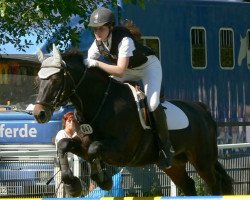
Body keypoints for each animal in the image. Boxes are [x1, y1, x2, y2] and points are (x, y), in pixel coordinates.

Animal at [32, 44, 232, 197]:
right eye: (38, 80)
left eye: (55, 79)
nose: (39, 114)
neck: (100, 102)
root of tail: (202, 109)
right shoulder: (82, 143)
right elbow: (65, 145)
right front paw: (72, 185)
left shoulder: (122, 150)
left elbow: (94, 148)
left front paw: (103, 180)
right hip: (174, 164)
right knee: (189, 185)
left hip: (202, 160)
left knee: (215, 184)